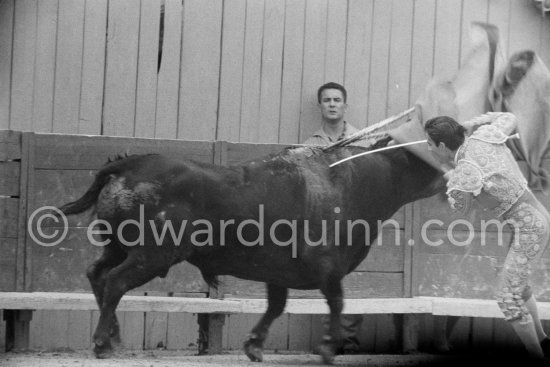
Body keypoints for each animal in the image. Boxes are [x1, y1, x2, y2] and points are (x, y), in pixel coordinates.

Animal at [57, 142, 444, 364]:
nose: (450, 177)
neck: (354, 179)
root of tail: (128, 165)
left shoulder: (280, 274)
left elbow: (276, 306)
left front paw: (255, 346)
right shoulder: (328, 268)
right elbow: (336, 303)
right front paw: (327, 348)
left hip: (118, 246)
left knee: (97, 275)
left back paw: (114, 337)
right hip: (151, 255)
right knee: (115, 282)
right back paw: (102, 343)